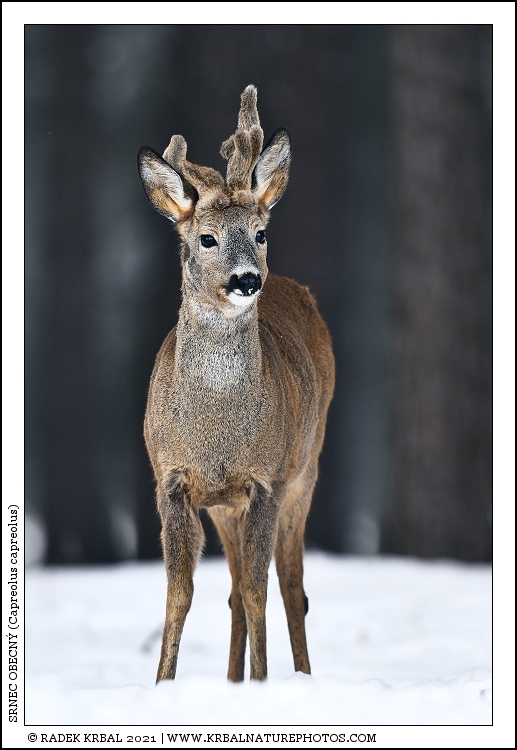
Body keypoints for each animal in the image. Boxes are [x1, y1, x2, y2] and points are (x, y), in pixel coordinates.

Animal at [138, 85, 335, 683]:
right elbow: (181, 592)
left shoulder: (266, 479)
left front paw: (264, 681)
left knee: (291, 586)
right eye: (206, 238)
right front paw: (163, 682)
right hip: (225, 506)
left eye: (260, 233)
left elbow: (257, 589)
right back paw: (230, 680)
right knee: (229, 591)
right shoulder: (173, 479)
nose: (248, 279)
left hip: (306, 468)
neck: (217, 431)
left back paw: (300, 677)